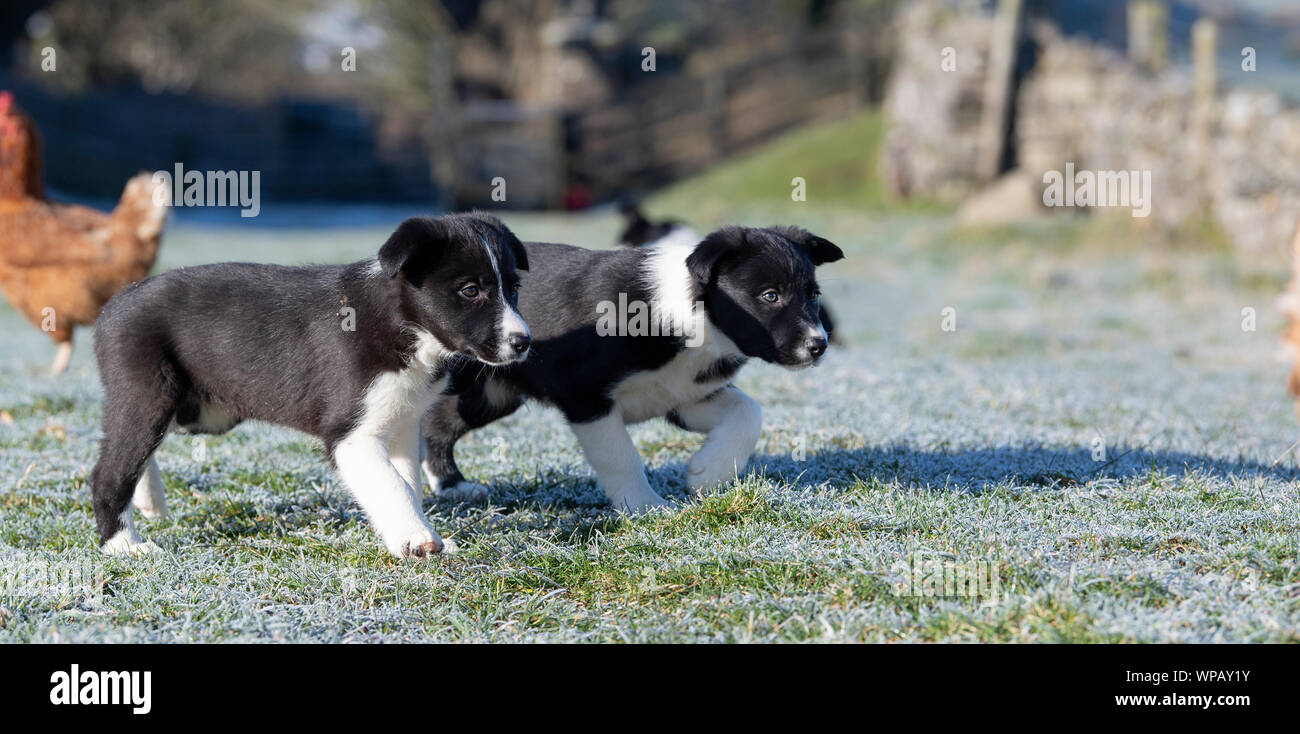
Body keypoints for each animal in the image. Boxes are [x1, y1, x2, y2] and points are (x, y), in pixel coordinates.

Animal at [91, 210, 530, 556]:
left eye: (513, 288)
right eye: (470, 290)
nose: (523, 342)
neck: (403, 325)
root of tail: (113, 306)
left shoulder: (402, 421)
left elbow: (409, 482)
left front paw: (408, 534)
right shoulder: (351, 435)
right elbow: (393, 485)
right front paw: (417, 539)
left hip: (200, 411)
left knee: (135, 451)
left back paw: (149, 501)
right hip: (150, 394)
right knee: (110, 469)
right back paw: (124, 545)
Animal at [418, 224, 842, 509]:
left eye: (814, 294)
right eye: (770, 296)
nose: (819, 345)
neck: (690, 320)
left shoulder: (684, 394)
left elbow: (748, 412)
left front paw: (708, 472)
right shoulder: (584, 394)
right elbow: (620, 455)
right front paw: (646, 508)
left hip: (491, 394)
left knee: (440, 424)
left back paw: (452, 485)